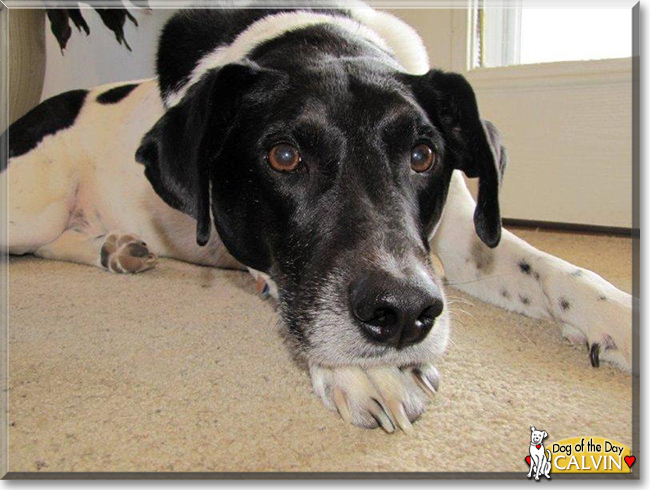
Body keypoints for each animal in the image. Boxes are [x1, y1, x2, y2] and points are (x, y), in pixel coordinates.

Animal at [0, 2, 628, 432]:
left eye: (423, 155)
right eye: (284, 156)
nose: (402, 314)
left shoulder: (454, 235)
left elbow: (554, 271)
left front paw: (622, 317)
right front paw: (367, 368)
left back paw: (117, 247)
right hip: (33, 205)